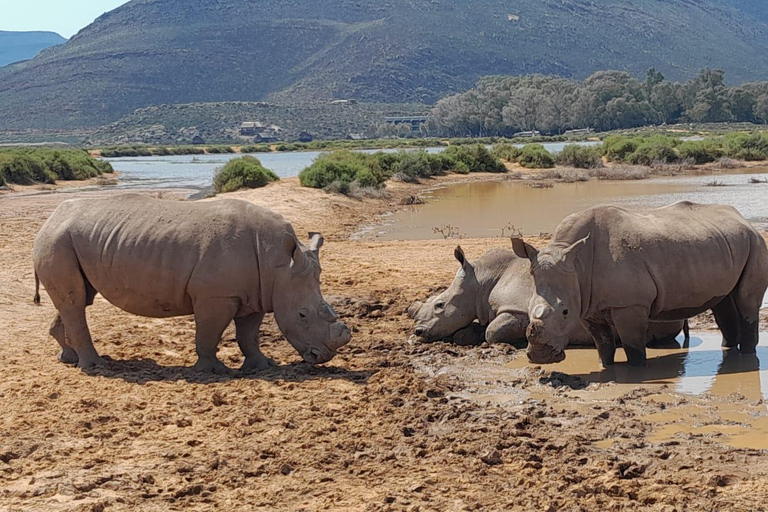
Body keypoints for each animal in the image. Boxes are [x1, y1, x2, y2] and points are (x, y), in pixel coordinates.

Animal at [32, 193, 352, 372]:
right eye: (302, 315)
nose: (323, 357)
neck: (278, 264)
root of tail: (49, 219)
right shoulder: (217, 296)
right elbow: (209, 334)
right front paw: (213, 371)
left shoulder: (256, 293)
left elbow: (249, 334)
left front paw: (262, 366)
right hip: (57, 241)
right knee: (75, 301)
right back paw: (97, 366)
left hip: (67, 240)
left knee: (77, 299)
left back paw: (69, 359)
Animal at [408, 246, 684, 350]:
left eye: (439, 305)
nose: (419, 332)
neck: (480, 281)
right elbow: (478, 328)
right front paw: (465, 336)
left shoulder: (517, 309)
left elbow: (493, 331)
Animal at [510, 202, 768, 366]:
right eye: (528, 308)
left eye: (564, 312)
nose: (541, 357)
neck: (575, 259)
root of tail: (743, 219)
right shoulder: (586, 303)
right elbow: (603, 344)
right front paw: (606, 367)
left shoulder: (630, 305)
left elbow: (633, 346)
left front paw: (635, 372)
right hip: (724, 242)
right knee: (723, 302)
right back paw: (729, 350)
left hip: (755, 243)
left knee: (746, 302)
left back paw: (746, 357)